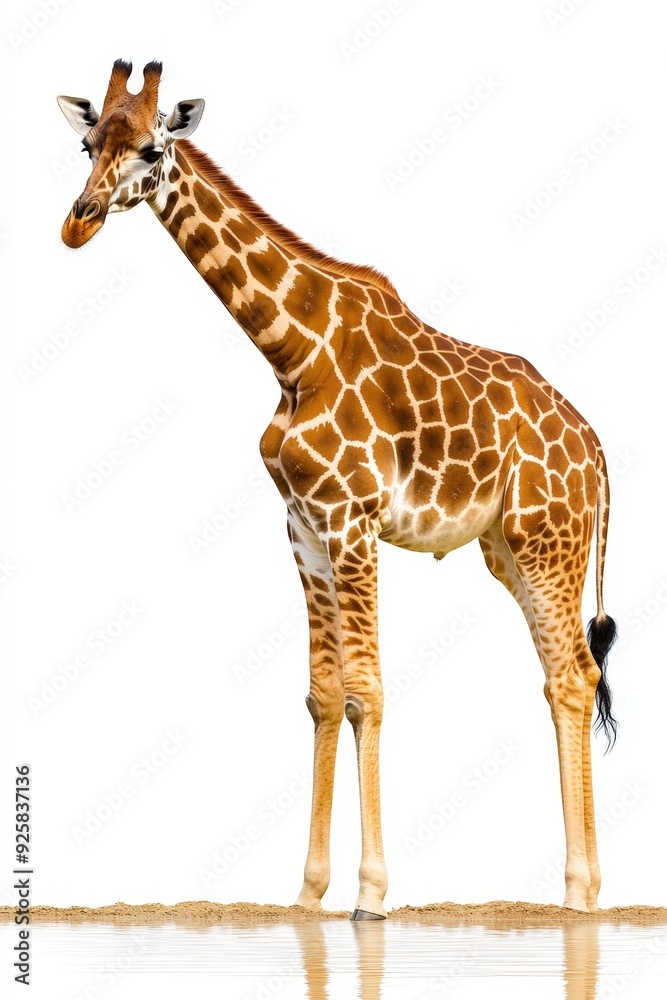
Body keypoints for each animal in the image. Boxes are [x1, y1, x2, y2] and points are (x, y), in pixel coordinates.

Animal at [58, 60, 618, 918]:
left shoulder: (353, 518)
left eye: (153, 149)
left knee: (570, 676)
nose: (77, 223)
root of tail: (593, 448)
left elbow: (367, 692)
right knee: (569, 676)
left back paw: (580, 893)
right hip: (506, 551)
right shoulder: (302, 524)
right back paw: (577, 888)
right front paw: (306, 892)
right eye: (87, 144)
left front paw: (370, 892)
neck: (290, 352)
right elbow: (324, 694)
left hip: (549, 542)